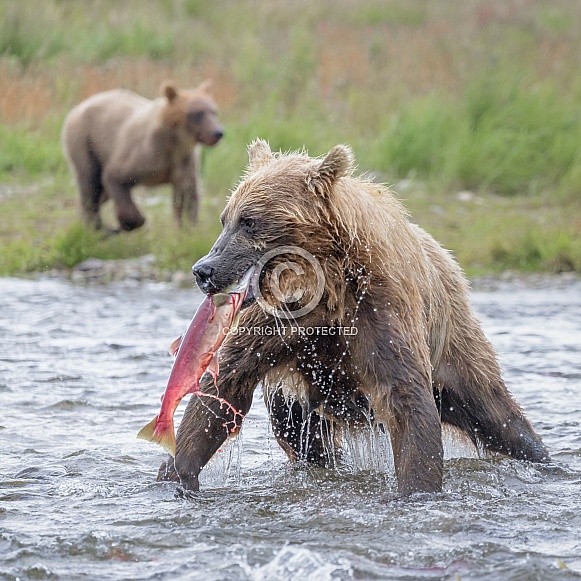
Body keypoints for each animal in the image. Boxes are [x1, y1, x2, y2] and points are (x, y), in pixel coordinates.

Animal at [61, 80, 222, 233]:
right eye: (197, 113)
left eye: (214, 111)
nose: (218, 132)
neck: (174, 142)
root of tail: (76, 108)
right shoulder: (146, 155)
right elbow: (115, 176)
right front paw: (134, 221)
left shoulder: (183, 162)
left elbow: (187, 195)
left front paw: (188, 229)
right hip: (85, 143)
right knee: (90, 183)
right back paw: (97, 227)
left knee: (99, 192)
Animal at [156, 139, 548, 494]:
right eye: (226, 218)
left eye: (249, 221)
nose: (204, 269)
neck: (321, 288)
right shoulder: (276, 326)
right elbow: (223, 387)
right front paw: (176, 473)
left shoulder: (378, 309)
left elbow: (405, 397)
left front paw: (418, 489)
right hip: (298, 399)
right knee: (298, 433)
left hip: (452, 342)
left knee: (496, 414)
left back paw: (543, 460)